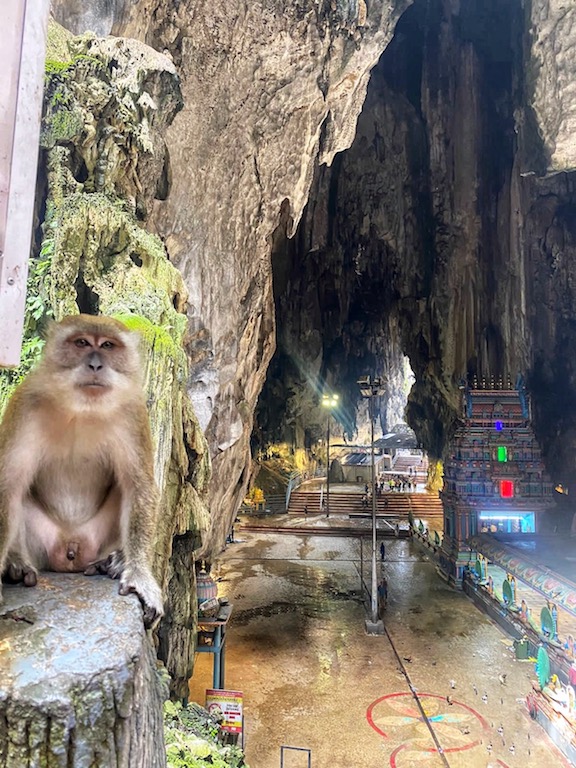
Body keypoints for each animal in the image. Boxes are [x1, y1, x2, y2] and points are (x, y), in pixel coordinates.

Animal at [0, 316, 164, 628]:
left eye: (108, 345)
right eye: (82, 343)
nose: (95, 365)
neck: (82, 409)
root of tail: (71, 550)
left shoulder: (133, 412)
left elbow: (138, 487)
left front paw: (139, 575)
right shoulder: (25, 403)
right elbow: (8, 484)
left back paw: (112, 561)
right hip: (42, 542)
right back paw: (17, 563)